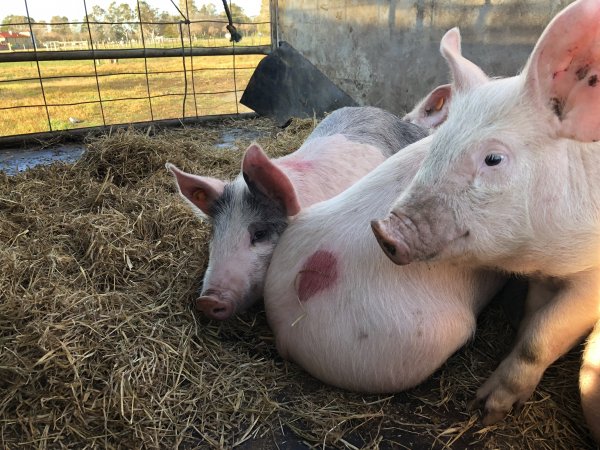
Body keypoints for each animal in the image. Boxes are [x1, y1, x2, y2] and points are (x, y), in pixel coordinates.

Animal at [372, 0, 600, 438]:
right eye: (438, 143)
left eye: (493, 158)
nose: (382, 230)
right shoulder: (545, 275)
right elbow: (531, 321)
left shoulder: (592, 281)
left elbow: (540, 337)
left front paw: (486, 410)